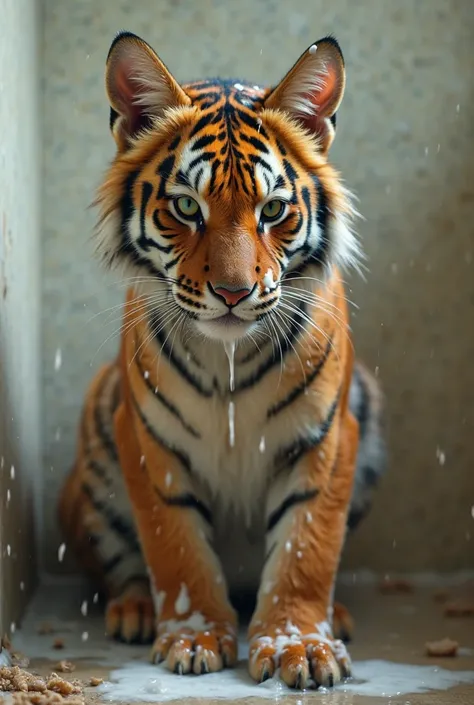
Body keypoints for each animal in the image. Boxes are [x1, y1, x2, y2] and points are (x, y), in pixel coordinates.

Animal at [58, 31, 386, 688]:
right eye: (187, 208)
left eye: (273, 210)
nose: (233, 293)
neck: (228, 356)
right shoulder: (148, 441)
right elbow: (176, 549)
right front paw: (192, 637)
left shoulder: (327, 436)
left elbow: (307, 547)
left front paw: (298, 643)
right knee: (119, 563)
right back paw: (134, 609)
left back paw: (335, 615)